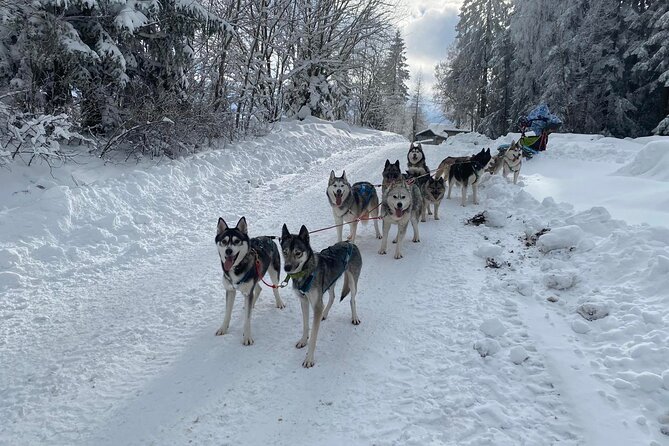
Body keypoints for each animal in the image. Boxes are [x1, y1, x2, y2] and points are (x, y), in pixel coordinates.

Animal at [215, 218, 284, 346]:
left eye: (237, 241)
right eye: (224, 241)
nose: (228, 251)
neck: (236, 268)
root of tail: (267, 238)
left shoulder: (248, 291)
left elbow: (247, 319)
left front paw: (247, 337)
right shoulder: (230, 290)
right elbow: (227, 313)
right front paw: (223, 328)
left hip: (274, 271)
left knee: (275, 288)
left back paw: (279, 302)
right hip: (256, 276)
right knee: (258, 289)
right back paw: (251, 304)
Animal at [280, 225, 362, 368]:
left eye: (298, 253)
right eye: (285, 252)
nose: (287, 267)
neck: (305, 272)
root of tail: (349, 243)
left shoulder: (316, 305)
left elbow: (313, 336)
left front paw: (309, 359)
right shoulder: (304, 301)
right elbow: (305, 325)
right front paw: (303, 340)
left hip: (352, 282)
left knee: (352, 300)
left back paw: (354, 317)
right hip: (330, 282)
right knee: (333, 297)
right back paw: (324, 314)